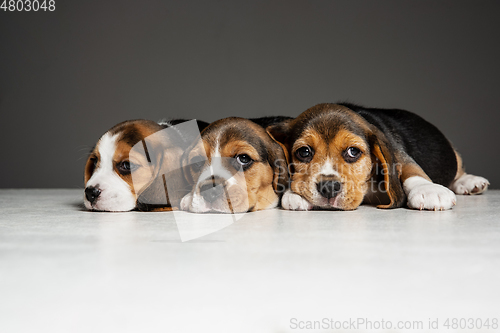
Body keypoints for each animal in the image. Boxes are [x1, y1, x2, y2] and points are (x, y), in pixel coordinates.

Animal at [268, 102, 490, 210]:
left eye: (353, 152)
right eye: (304, 152)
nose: (329, 187)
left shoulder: (395, 149)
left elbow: (410, 169)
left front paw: (428, 190)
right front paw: (295, 194)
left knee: (459, 170)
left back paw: (469, 182)